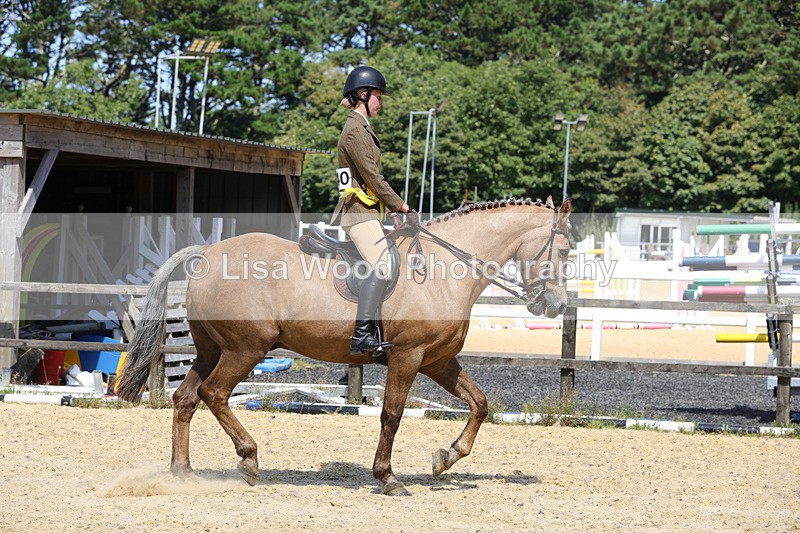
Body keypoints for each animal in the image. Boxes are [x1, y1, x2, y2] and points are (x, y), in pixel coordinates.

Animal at [117, 196, 572, 496]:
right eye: (566, 250)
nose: (555, 305)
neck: (444, 272)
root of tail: (209, 252)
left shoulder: (438, 360)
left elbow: (479, 404)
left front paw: (446, 457)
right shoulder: (407, 357)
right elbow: (391, 415)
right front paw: (388, 478)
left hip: (213, 349)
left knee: (185, 398)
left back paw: (183, 472)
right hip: (246, 349)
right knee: (214, 394)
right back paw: (248, 460)